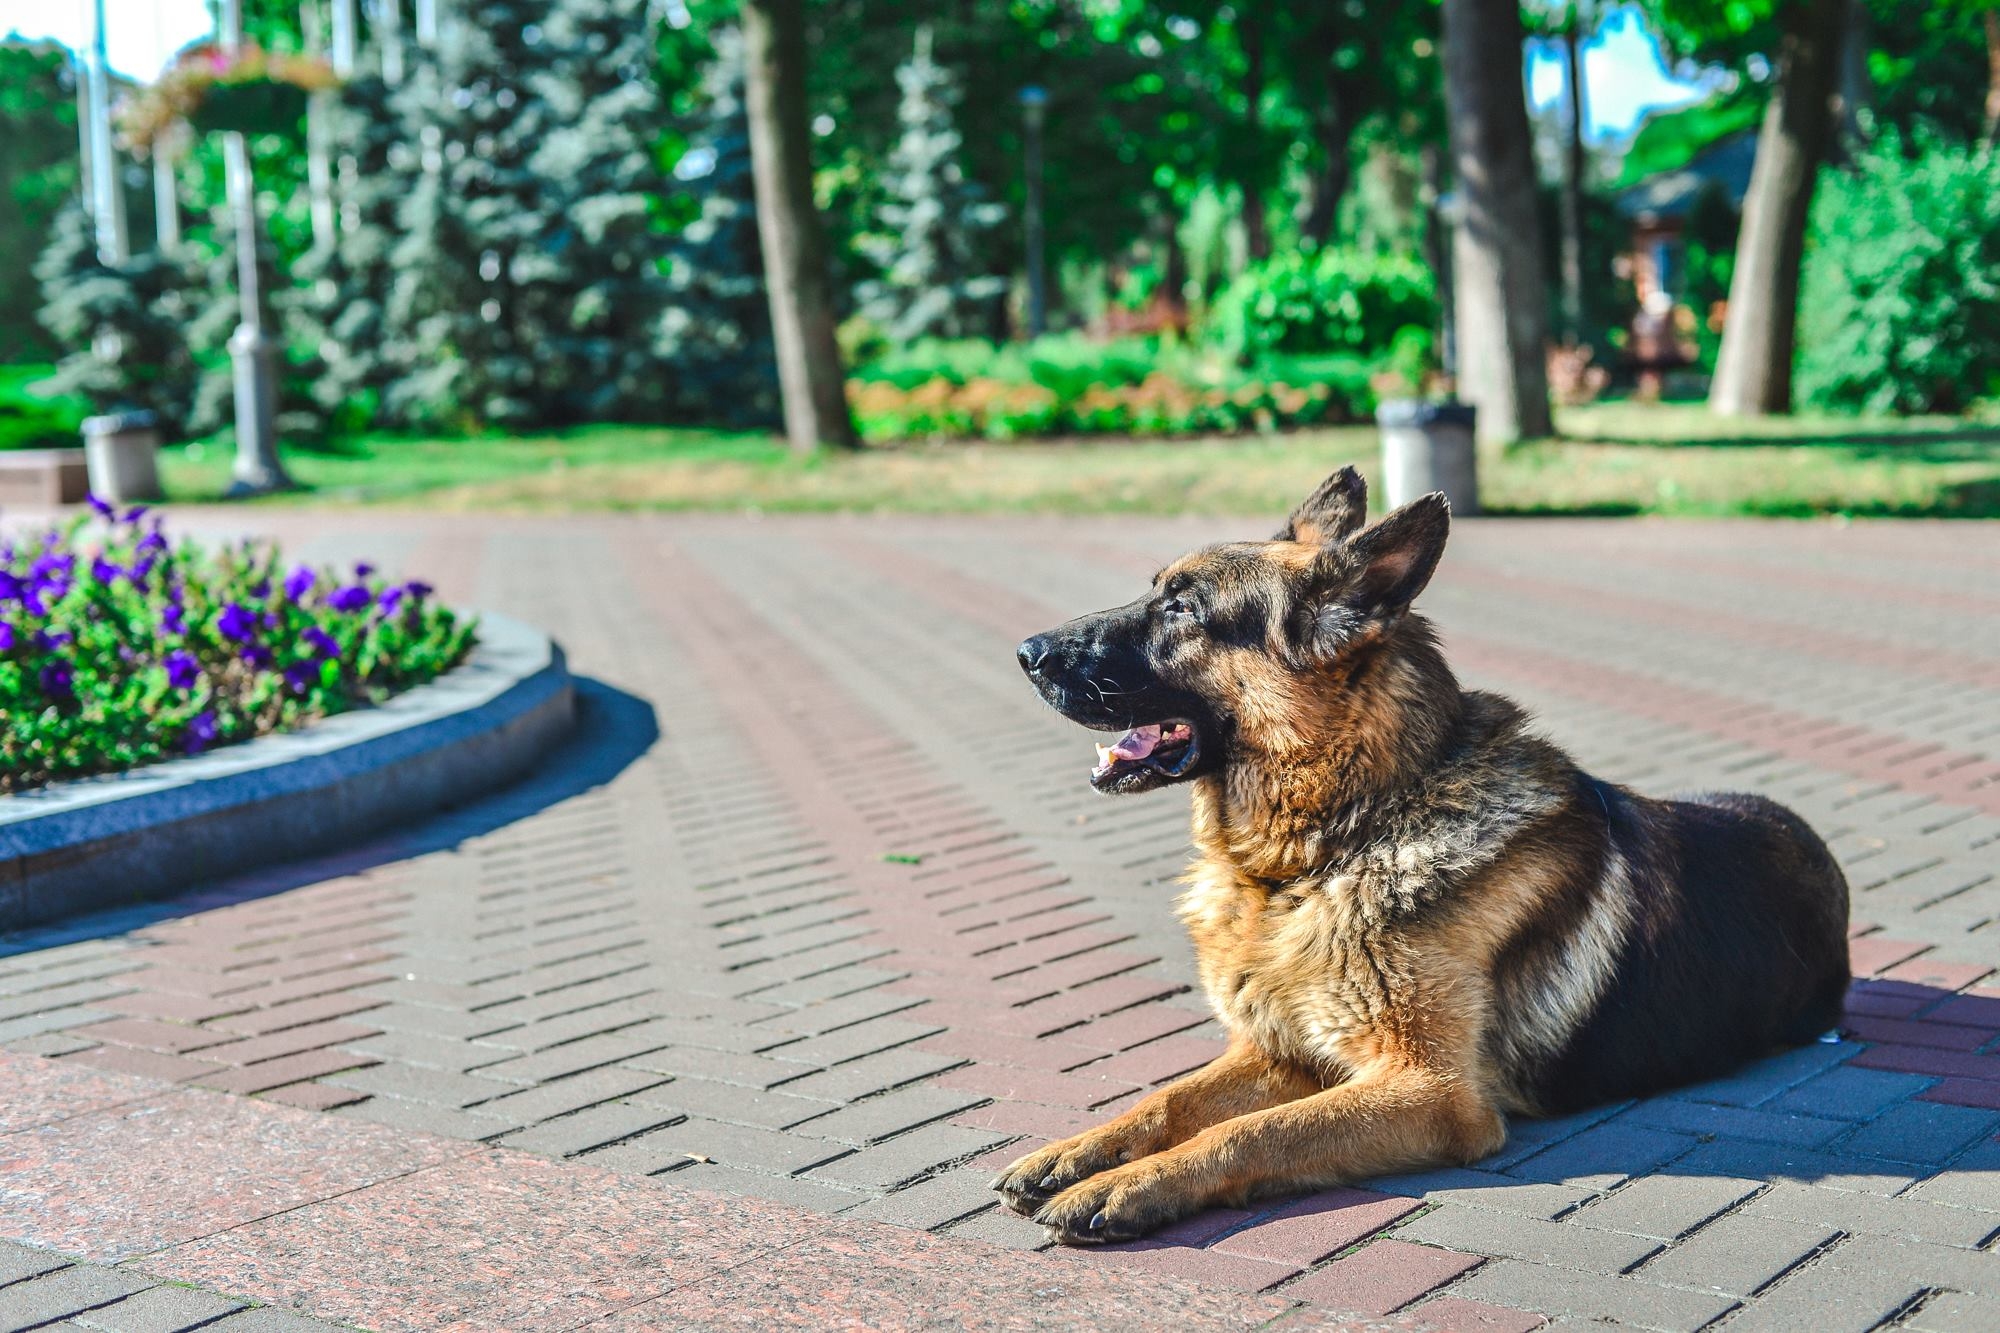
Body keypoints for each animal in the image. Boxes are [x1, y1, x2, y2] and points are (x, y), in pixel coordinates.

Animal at [992, 464, 1848, 1232]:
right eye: (1156, 593)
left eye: (1181, 609)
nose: (1026, 653)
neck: (1331, 847)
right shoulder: (1282, 1052)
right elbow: (1167, 1098)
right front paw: (1079, 1150)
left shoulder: (1432, 1091)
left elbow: (1247, 1131)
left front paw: (1131, 1185)